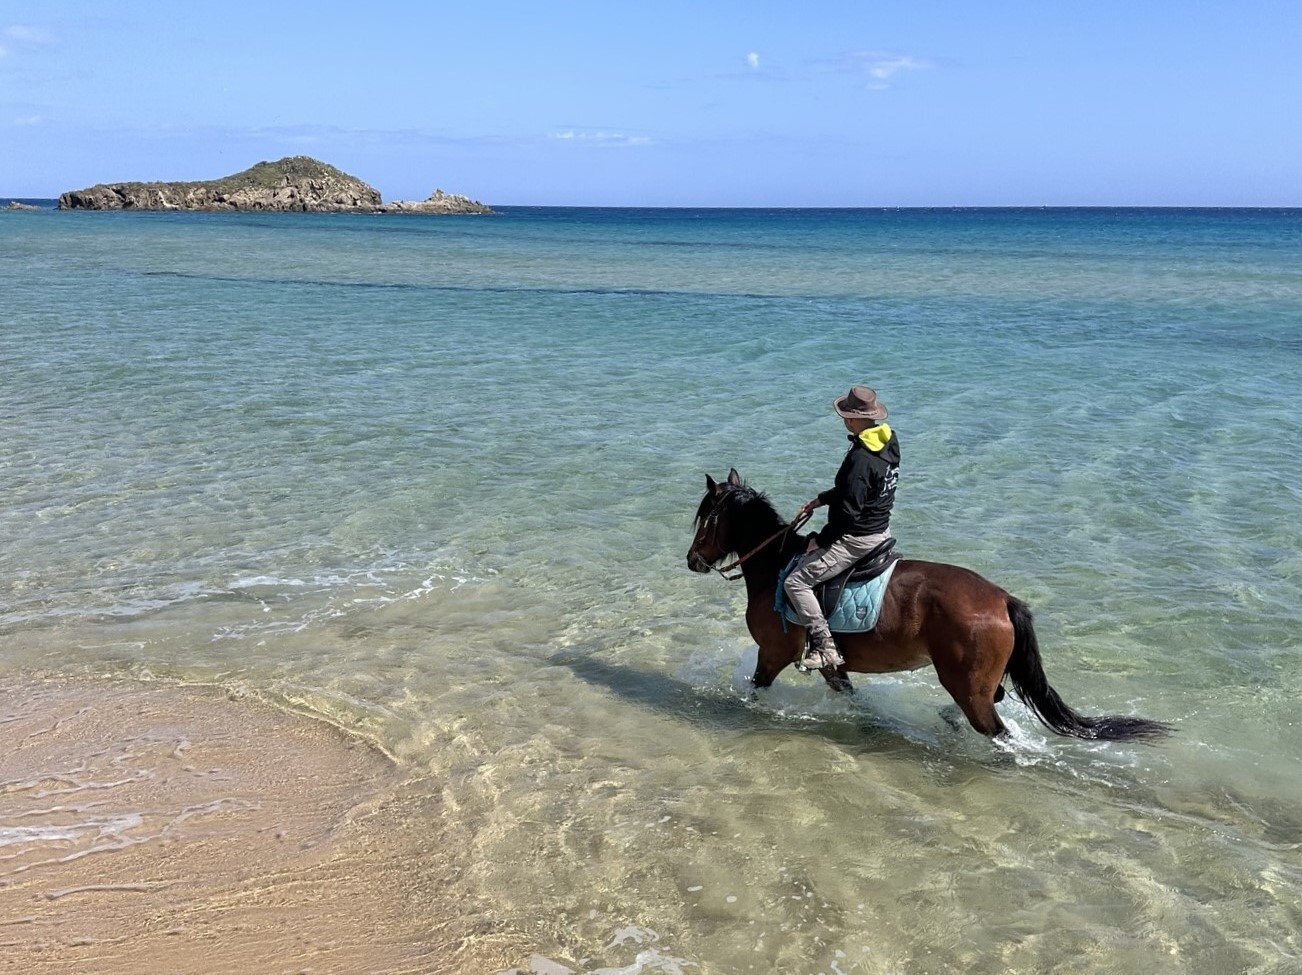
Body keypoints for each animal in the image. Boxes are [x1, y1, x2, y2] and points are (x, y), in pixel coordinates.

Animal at [686, 469, 1171, 742]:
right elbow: (849, 695)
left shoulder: (773, 653)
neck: (776, 566)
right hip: (973, 684)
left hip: (969, 689)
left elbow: (754, 688)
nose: (692, 560)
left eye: (705, 518)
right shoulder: (831, 667)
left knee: (997, 732)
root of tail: (1003, 599)